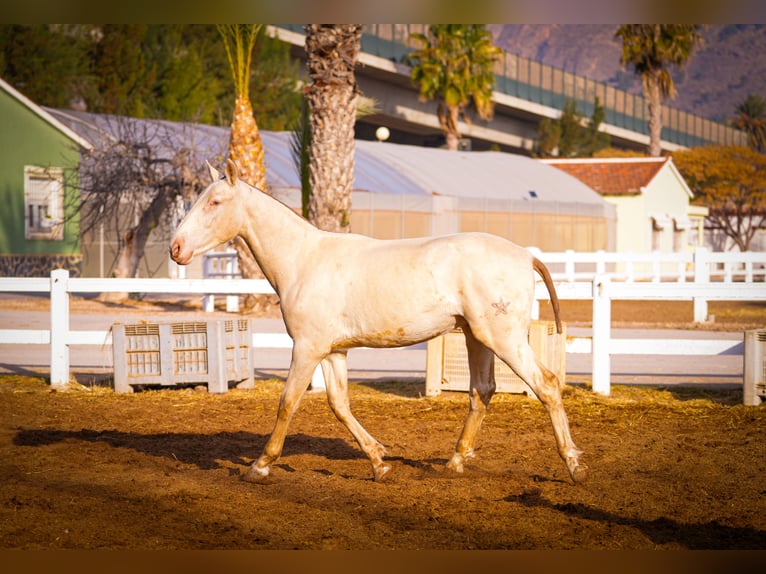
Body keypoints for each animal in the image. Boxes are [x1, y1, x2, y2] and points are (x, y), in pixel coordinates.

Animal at [170, 161, 588, 486]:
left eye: (215, 202)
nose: (176, 248)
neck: (304, 260)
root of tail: (525, 256)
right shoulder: (332, 352)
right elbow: (339, 405)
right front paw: (378, 462)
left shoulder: (306, 348)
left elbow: (287, 403)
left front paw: (259, 466)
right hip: (477, 337)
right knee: (481, 392)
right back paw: (454, 462)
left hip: (503, 338)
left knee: (546, 385)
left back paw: (575, 466)